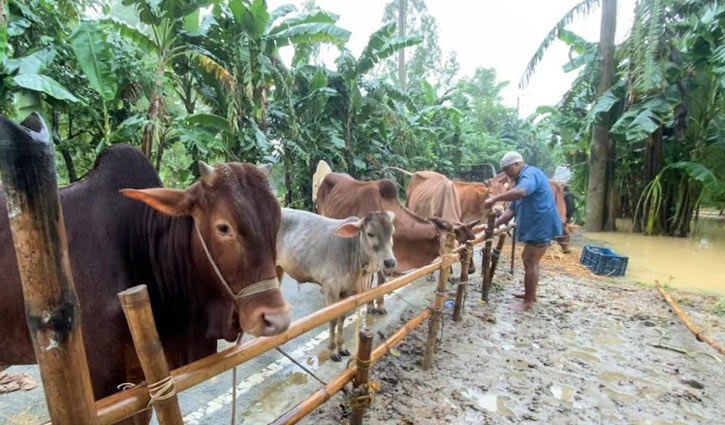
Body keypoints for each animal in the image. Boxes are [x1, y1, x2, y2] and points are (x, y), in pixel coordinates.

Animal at [276, 207, 396, 360]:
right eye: (370, 234)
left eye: (392, 233)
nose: (390, 262)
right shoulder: (331, 288)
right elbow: (333, 319)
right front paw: (333, 351)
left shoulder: (347, 293)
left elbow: (342, 318)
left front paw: (342, 347)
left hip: (278, 268)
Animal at [312, 161, 452, 314]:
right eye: (447, 241)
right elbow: (370, 281)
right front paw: (370, 306)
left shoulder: (386, 256)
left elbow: (381, 280)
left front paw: (380, 305)